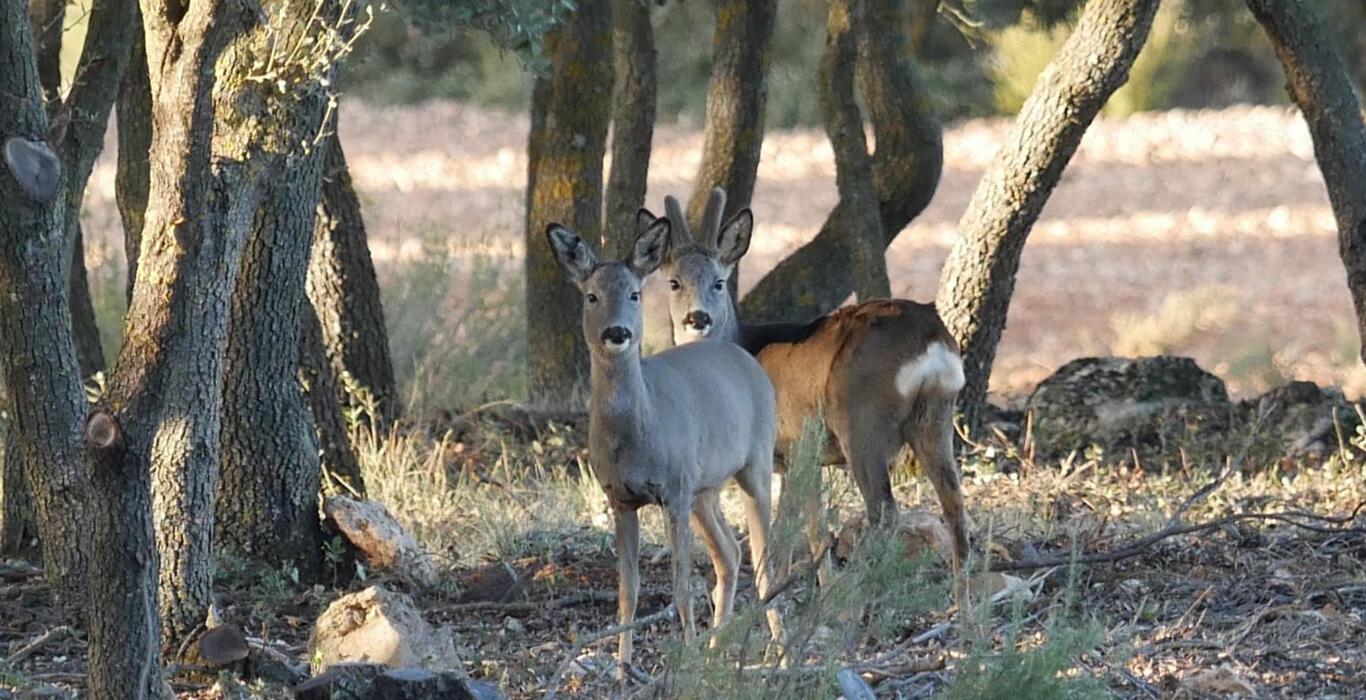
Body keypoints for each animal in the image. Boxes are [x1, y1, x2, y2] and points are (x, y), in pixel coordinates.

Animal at [540, 216, 781, 675]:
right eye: (592, 296)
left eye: (635, 293)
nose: (617, 332)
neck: (639, 433)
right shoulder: (620, 498)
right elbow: (627, 591)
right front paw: (622, 668)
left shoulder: (674, 489)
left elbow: (680, 585)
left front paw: (685, 658)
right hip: (704, 490)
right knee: (729, 553)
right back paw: (716, 647)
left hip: (755, 462)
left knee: (764, 562)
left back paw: (782, 653)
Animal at [652, 187, 967, 574]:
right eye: (674, 282)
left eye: (719, 282)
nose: (698, 318)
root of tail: (931, 337)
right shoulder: (799, 458)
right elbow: (811, 531)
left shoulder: (789, 444)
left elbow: (783, 534)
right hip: (936, 416)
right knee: (955, 505)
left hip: (861, 422)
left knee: (884, 513)